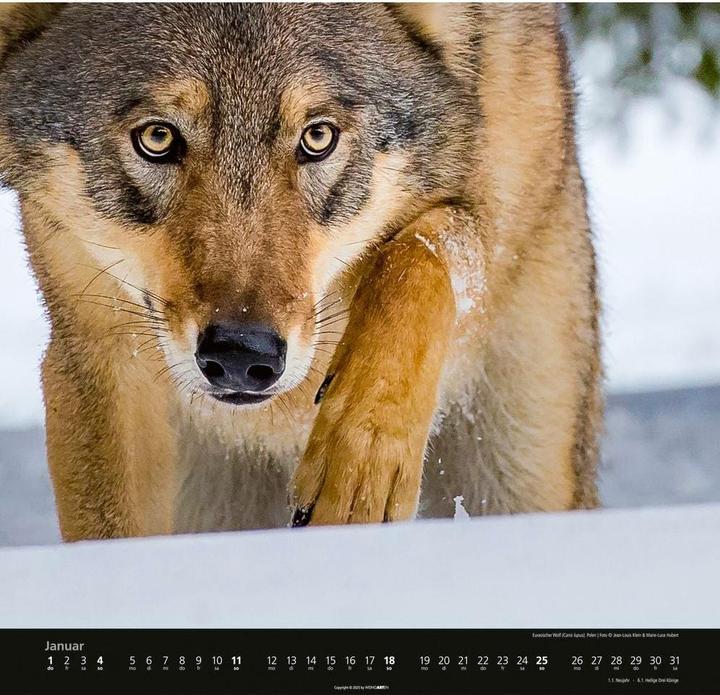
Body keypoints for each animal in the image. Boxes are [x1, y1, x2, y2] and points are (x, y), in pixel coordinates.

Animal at [0, 3, 601, 541]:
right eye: (157, 138)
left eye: (318, 137)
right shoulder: (99, 355)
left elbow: (420, 253)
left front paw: (361, 458)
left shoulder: (497, 203)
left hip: (521, 464)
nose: (240, 355)